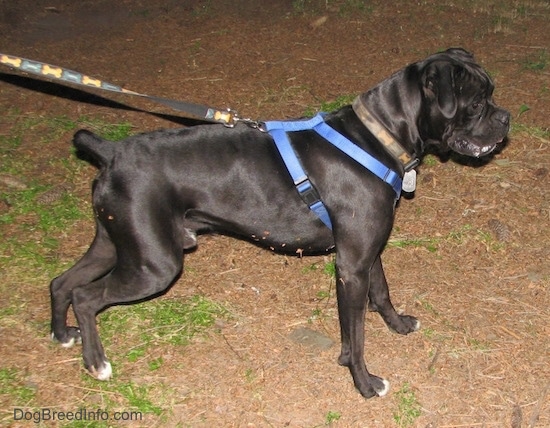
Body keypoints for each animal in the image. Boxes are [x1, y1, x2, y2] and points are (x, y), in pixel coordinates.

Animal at [49, 47, 512, 398]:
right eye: (476, 103)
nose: (505, 118)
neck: (378, 138)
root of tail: (111, 152)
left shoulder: (367, 253)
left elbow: (382, 294)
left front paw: (398, 326)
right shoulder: (351, 267)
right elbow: (356, 335)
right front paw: (364, 383)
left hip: (116, 244)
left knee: (62, 282)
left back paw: (62, 333)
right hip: (155, 265)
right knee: (87, 297)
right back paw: (96, 362)